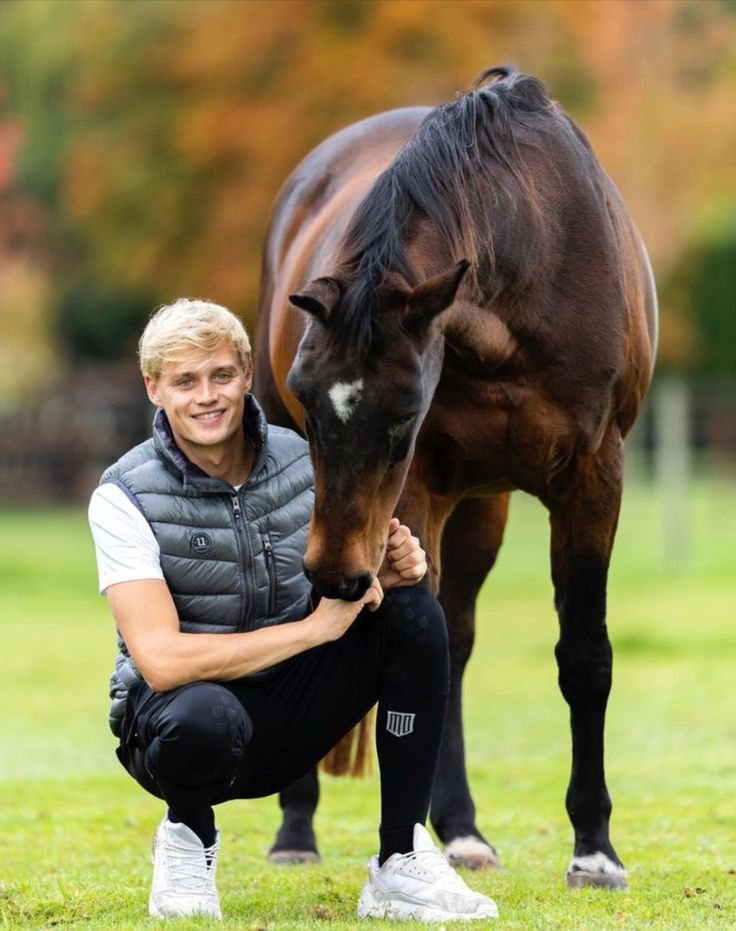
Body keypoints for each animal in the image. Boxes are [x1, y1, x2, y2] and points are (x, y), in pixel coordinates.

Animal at [253, 67, 656, 888]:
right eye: (308, 395)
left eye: (405, 411)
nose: (338, 573)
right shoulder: (421, 489)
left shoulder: (594, 479)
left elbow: (586, 657)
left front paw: (595, 849)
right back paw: (299, 828)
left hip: (484, 506)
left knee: (460, 638)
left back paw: (465, 831)